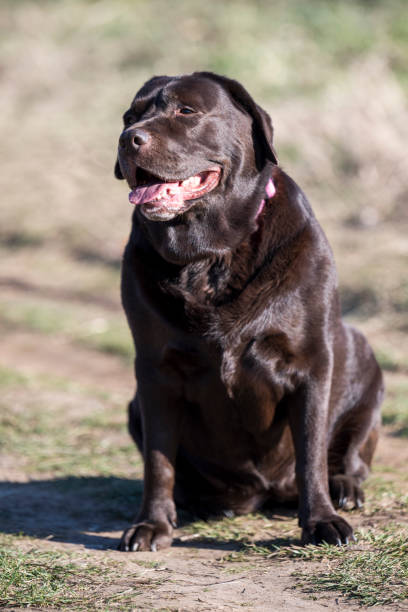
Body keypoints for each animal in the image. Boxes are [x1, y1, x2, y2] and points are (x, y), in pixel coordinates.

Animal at [114, 73, 382, 556]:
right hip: (134, 407)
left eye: (186, 111)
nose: (129, 139)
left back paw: (345, 488)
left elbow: (311, 451)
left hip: (367, 373)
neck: (210, 257)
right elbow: (158, 460)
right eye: (130, 116)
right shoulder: (155, 372)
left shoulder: (311, 365)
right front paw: (151, 524)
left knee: (349, 453)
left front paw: (321, 521)